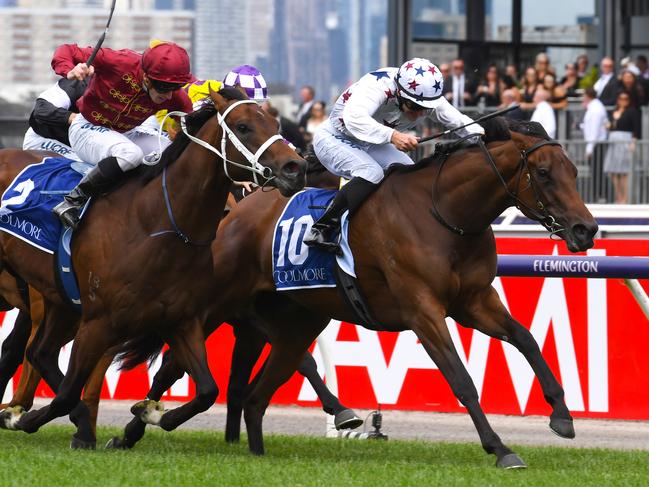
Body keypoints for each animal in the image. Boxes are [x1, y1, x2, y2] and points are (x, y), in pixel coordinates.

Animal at [0, 86, 306, 446]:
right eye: (243, 127)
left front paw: (153, 413)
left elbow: (207, 391)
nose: (295, 167)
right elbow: (66, 394)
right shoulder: (98, 322)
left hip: (58, 298)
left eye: (275, 123)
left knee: (40, 353)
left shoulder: (182, 320)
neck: (155, 224)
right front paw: (31, 419)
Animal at [128, 118, 596, 468]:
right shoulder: (423, 311)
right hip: (214, 305)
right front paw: (500, 448)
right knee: (174, 364)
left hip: (298, 321)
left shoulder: (475, 301)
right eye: (543, 173)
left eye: (575, 171)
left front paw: (562, 416)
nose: (585, 229)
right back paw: (137, 426)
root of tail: (235, 212)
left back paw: (253, 450)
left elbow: (526, 339)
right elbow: (461, 380)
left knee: (258, 393)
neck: (445, 214)